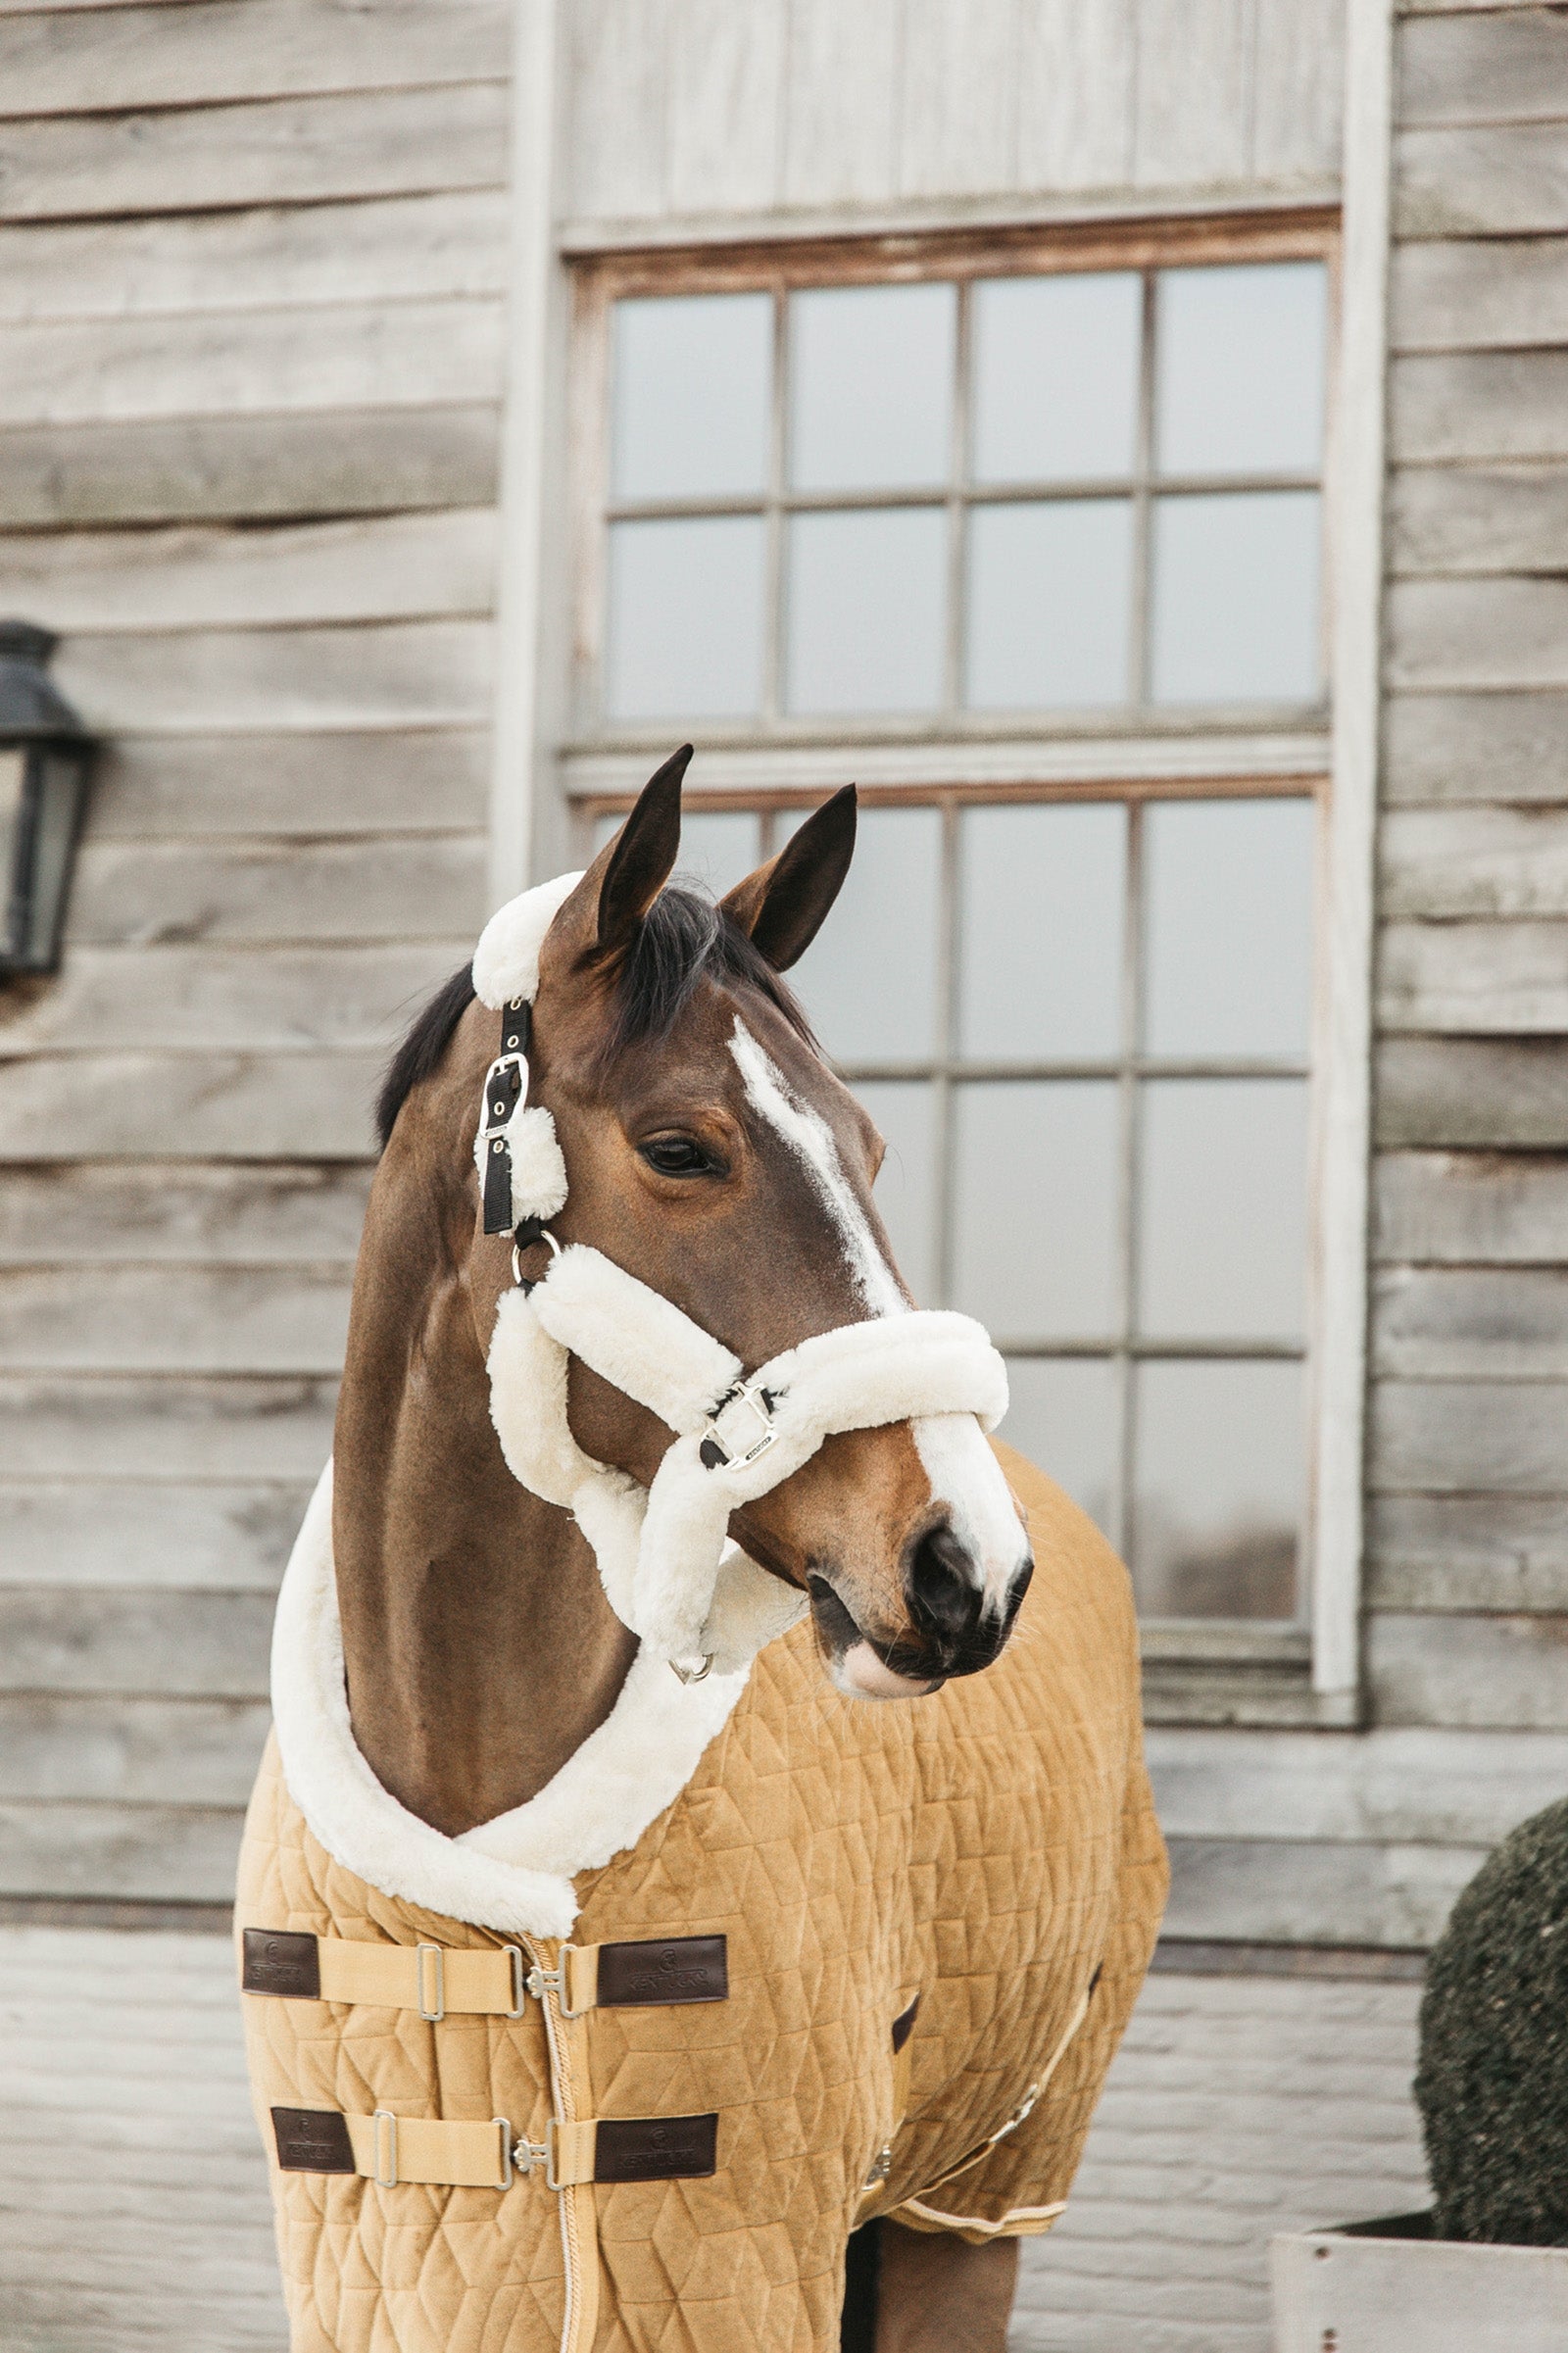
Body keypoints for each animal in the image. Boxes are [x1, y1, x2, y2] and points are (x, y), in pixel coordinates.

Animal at [236, 745, 1167, 2352]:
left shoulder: (742, 2257)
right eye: (682, 1147)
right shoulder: (384, 2267)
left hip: (970, 2204)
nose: (967, 1567)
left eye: (869, 1143)